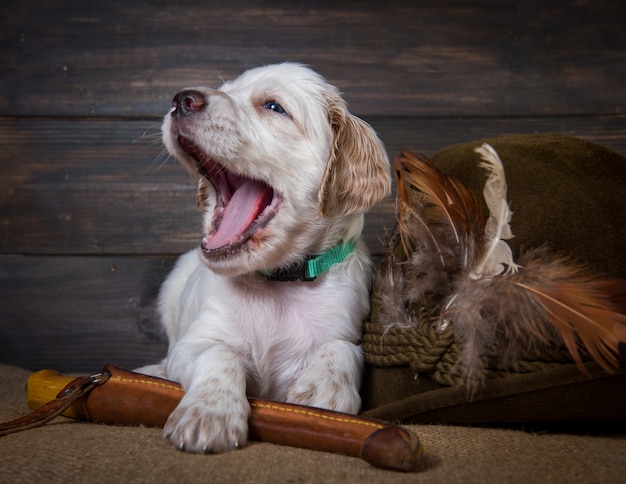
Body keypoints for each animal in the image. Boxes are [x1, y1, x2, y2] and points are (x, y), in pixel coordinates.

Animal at [139, 62, 388, 452]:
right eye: (226, 90)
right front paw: (209, 414)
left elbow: (343, 350)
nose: (182, 100)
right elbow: (219, 354)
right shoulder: (194, 341)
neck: (275, 281)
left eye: (274, 107)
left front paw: (324, 393)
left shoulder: (347, 327)